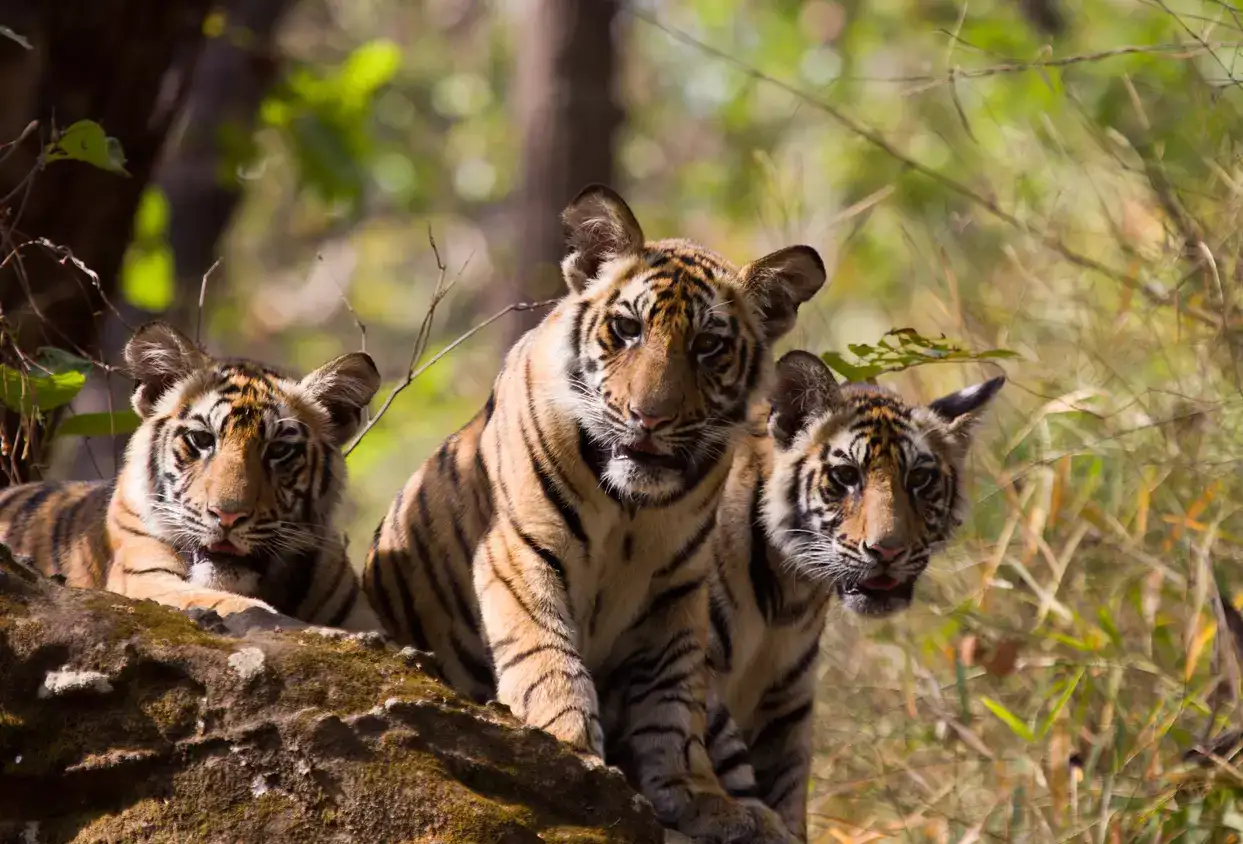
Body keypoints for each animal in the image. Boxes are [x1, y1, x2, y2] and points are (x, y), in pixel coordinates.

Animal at [364, 184, 827, 843]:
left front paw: (696, 794)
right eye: (627, 328)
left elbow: (673, 703)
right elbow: (545, 652)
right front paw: (568, 747)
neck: (633, 509)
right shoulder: (521, 547)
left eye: (708, 346)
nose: (649, 417)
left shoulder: (678, 589)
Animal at [703, 350, 1005, 840]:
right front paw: (747, 819)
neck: (787, 590)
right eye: (846, 476)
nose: (888, 550)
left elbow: (787, 783)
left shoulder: (784, 698)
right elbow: (721, 751)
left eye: (919, 479)